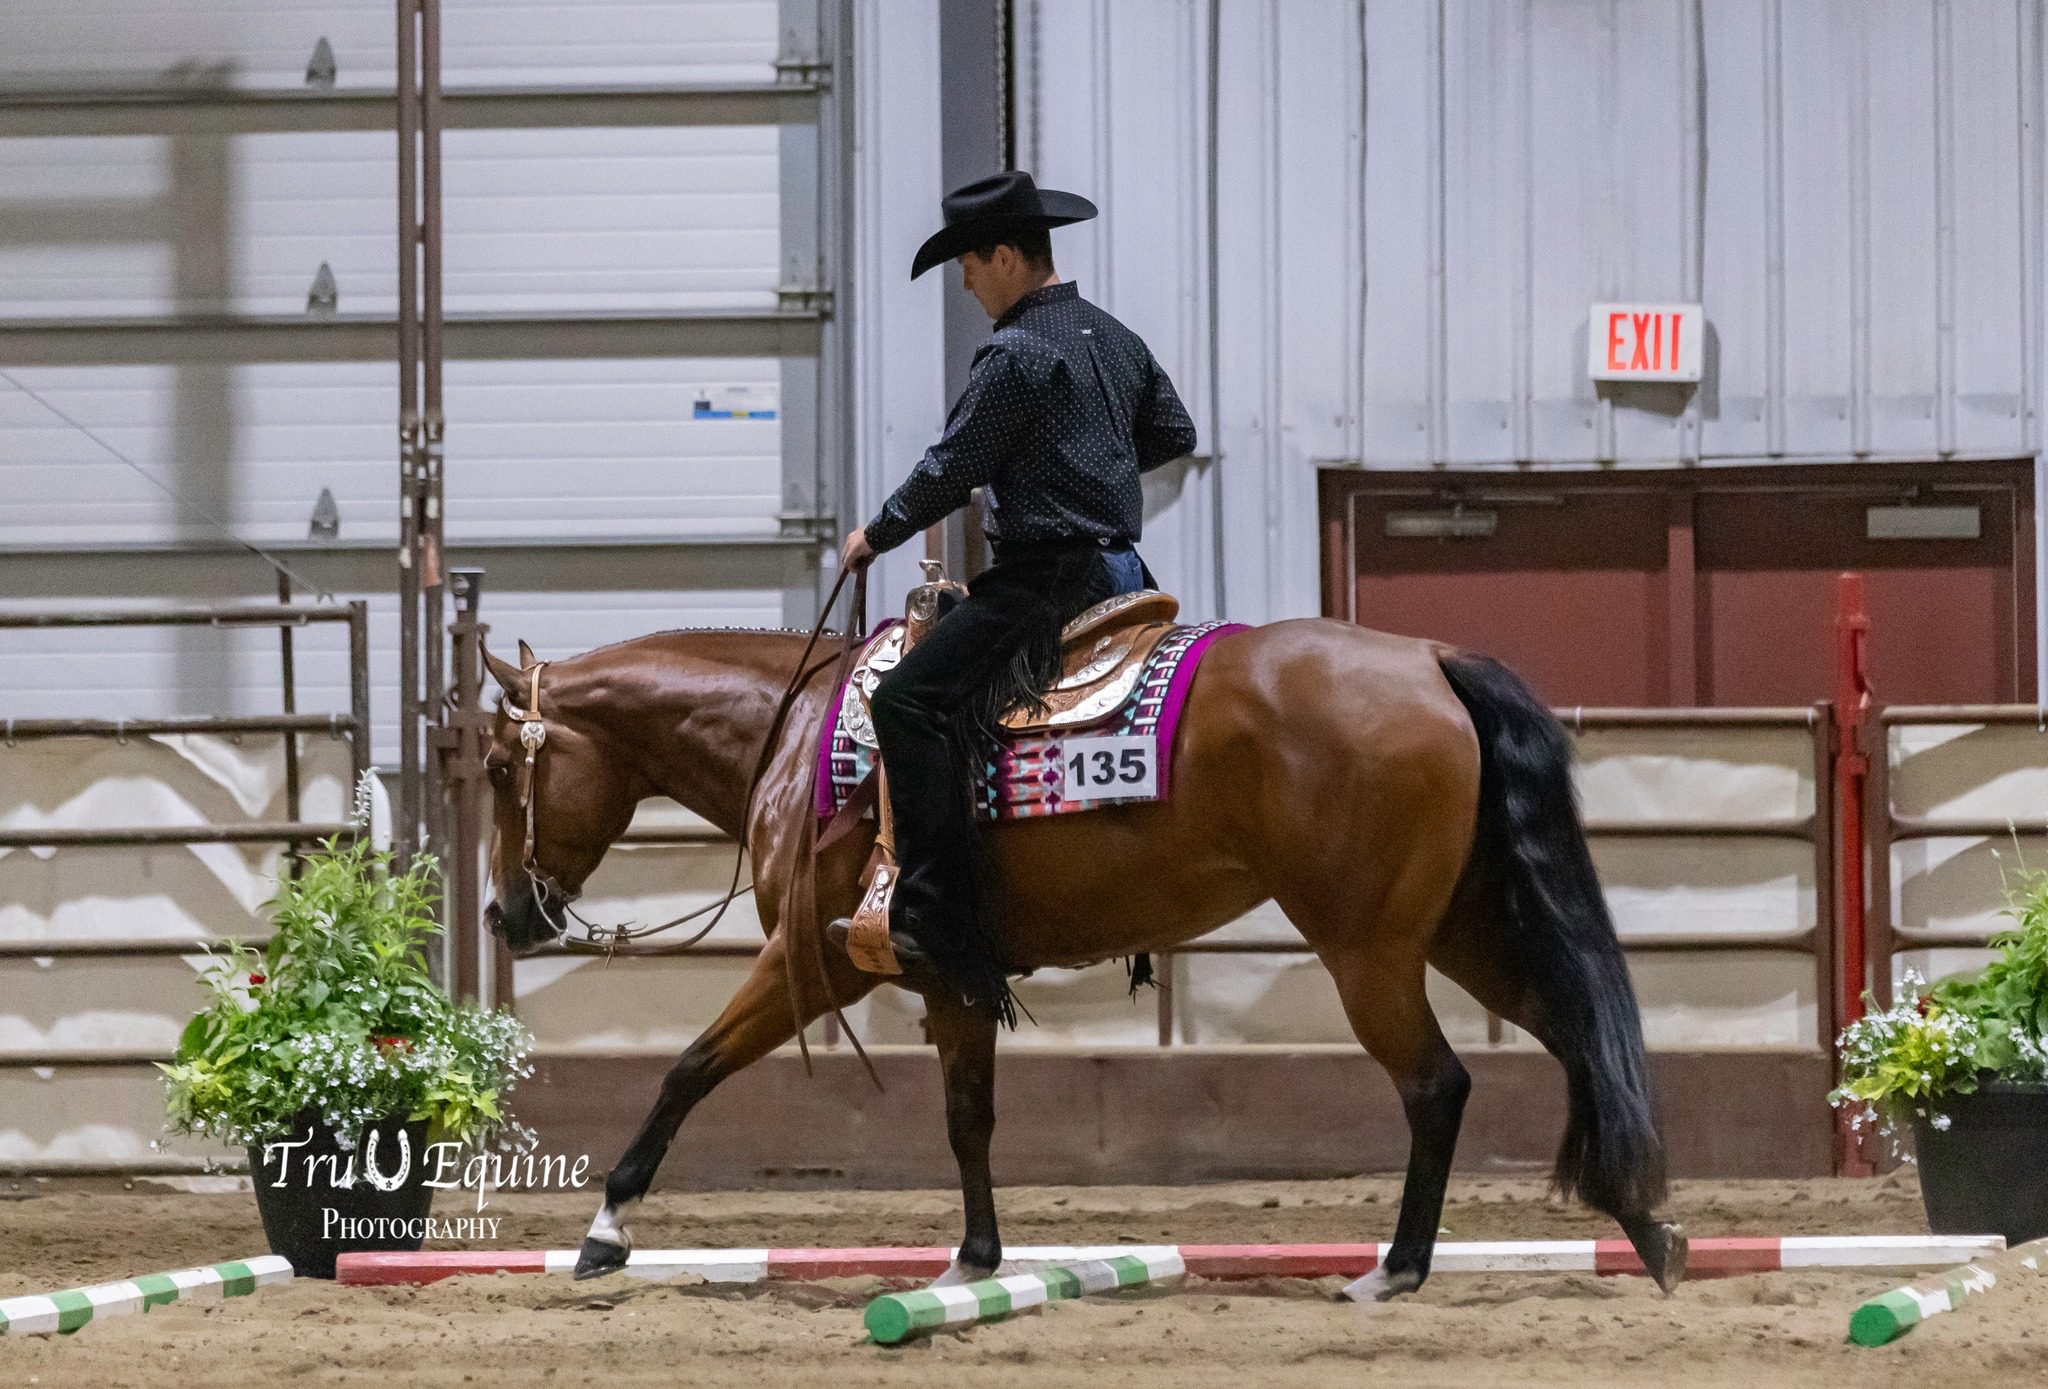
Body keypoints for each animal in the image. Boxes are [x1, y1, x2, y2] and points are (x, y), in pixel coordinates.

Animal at [478, 612, 1689, 1300]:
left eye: (495, 767)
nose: (502, 917)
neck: (803, 738)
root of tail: (1432, 664)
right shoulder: (947, 980)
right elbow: (968, 1119)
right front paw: (973, 1258)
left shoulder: (811, 961)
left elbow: (689, 1066)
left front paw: (604, 1229)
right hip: (1461, 927)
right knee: (1573, 1030)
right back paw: (1647, 1228)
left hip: (1370, 950)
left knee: (1437, 1084)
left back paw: (1396, 1269)